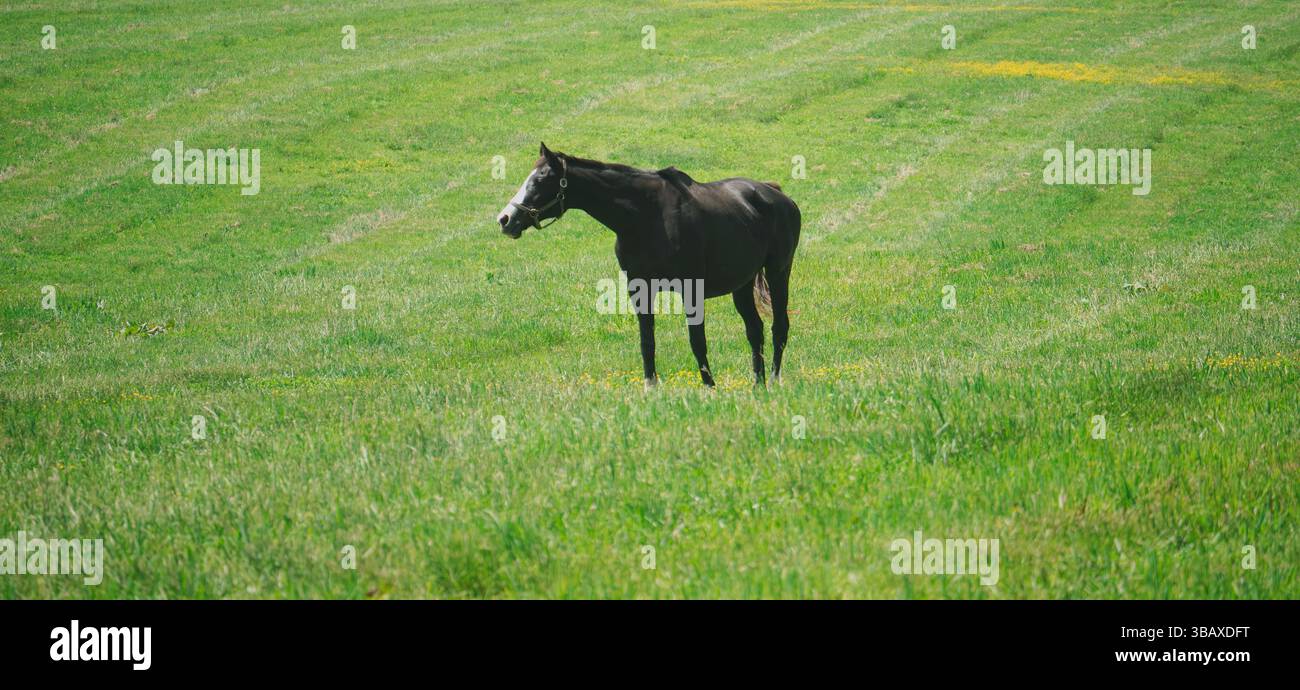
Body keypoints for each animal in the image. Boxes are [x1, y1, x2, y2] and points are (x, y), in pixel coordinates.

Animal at [496, 143, 801, 388]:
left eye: (541, 179)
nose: (505, 219)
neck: (646, 216)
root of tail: (776, 194)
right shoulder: (640, 290)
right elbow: (647, 343)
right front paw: (650, 388)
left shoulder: (691, 291)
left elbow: (697, 342)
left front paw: (709, 388)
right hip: (742, 285)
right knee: (755, 331)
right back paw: (758, 385)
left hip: (779, 272)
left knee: (779, 327)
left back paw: (774, 380)